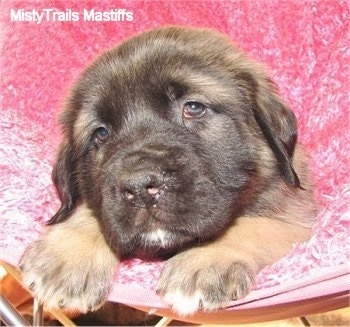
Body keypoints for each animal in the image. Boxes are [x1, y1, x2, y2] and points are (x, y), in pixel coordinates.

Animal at [19, 26, 318, 318]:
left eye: (193, 108)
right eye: (101, 134)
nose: (140, 187)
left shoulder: (295, 211)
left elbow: (255, 225)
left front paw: (204, 260)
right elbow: (96, 211)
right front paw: (67, 254)